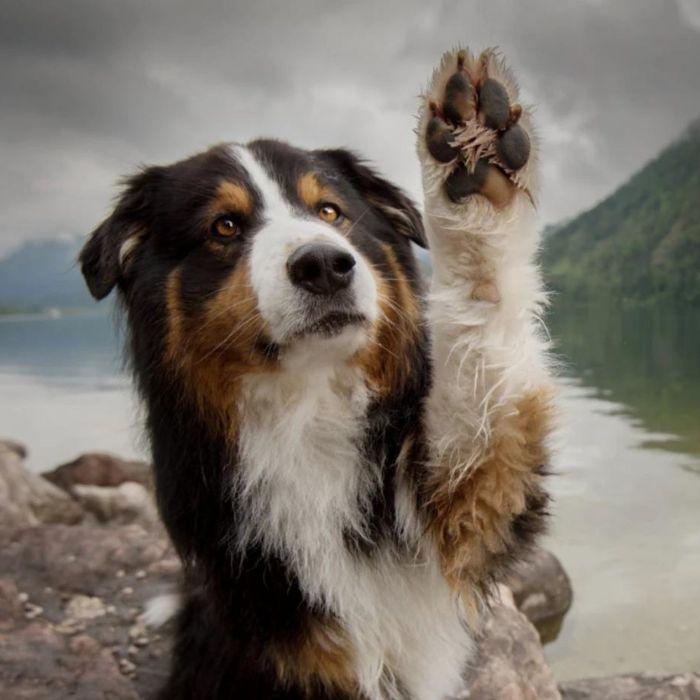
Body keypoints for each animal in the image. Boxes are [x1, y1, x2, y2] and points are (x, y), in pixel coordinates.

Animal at [79, 49, 556, 700]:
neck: (306, 404)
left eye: (330, 211)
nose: (326, 265)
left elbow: (483, 341)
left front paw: (473, 157)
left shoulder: (462, 500)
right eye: (224, 226)